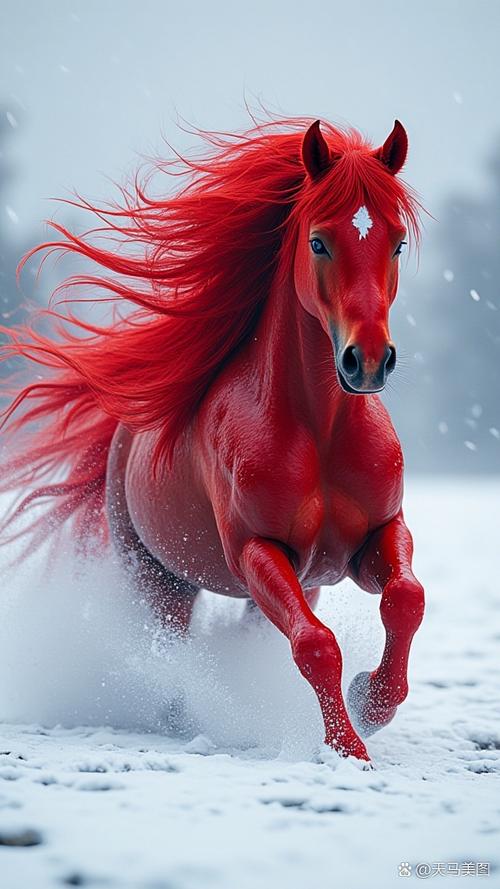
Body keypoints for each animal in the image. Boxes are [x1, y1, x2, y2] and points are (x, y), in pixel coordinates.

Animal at [0, 117, 425, 762]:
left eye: (397, 242)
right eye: (319, 242)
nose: (368, 361)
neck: (320, 432)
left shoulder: (374, 537)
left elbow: (405, 600)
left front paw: (371, 701)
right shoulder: (257, 551)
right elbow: (315, 646)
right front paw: (347, 748)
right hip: (158, 578)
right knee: (173, 645)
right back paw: (179, 711)